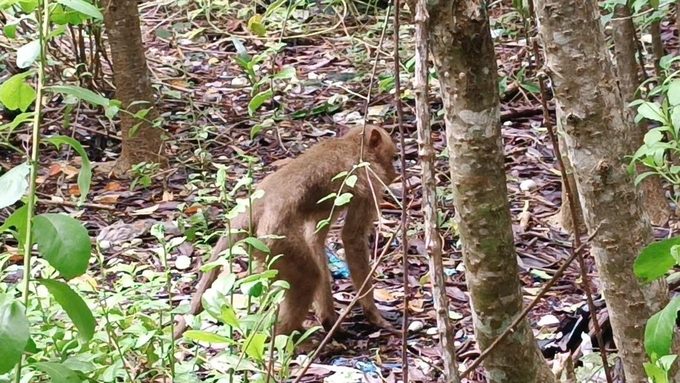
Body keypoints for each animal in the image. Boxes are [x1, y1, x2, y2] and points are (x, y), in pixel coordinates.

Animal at [175, 127, 398, 340]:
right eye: (393, 157)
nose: (393, 173)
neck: (352, 144)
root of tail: (254, 205)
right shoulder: (370, 180)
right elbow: (352, 237)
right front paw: (374, 315)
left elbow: (315, 238)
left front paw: (329, 320)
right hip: (273, 239)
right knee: (308, 276)